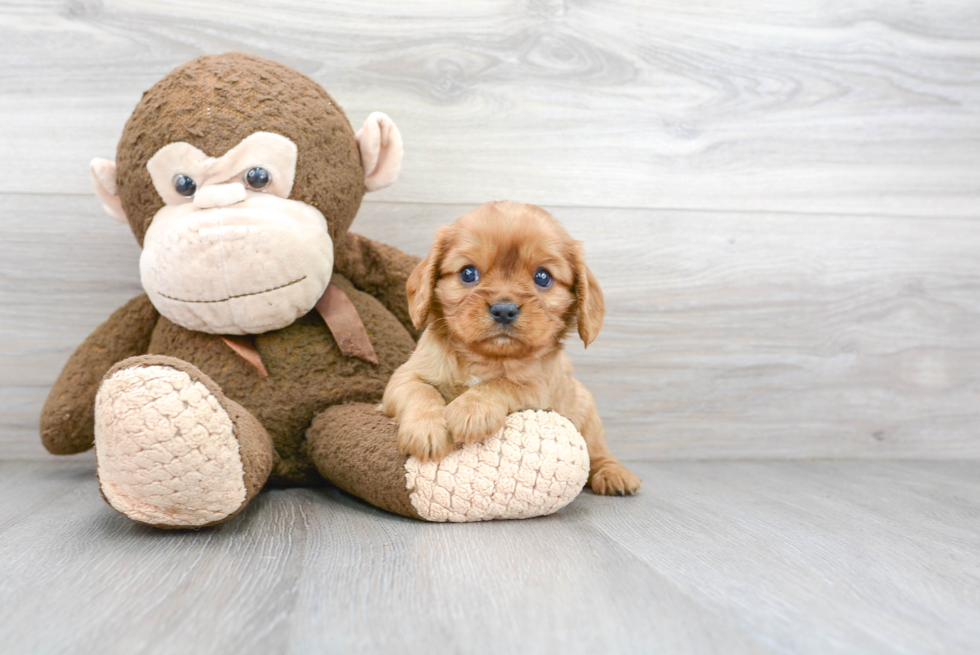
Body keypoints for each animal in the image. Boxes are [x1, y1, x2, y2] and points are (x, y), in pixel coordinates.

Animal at [382, 202, 644, 494]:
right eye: (468, 273)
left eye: (542, 277)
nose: (504, 310)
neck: (486, 359)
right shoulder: (401, 378)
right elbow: (421, 390)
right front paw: (425, 429)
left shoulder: (538, 392)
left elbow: (501, 384)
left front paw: (471, 409)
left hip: (588, 417)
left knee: (598, 452)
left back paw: (615, 475)